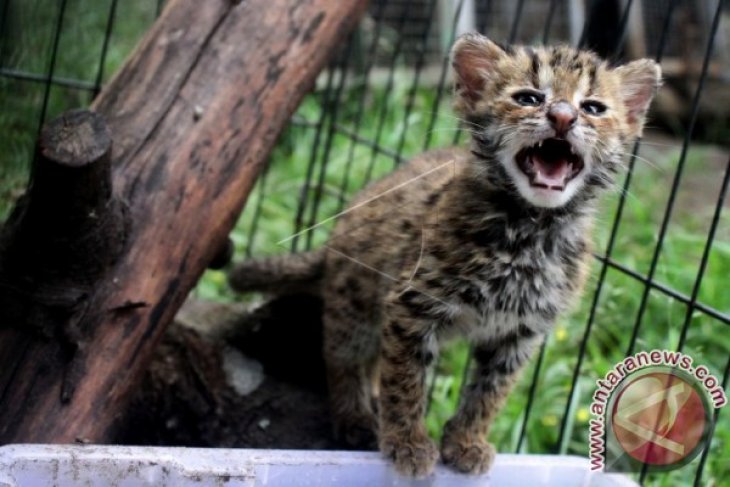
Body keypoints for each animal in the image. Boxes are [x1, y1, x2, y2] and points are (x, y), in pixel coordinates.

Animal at [229, 34, 660, 476]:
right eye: (528, 98)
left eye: (593, 108)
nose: (562, 117)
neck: (530, 228)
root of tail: (338, 229)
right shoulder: (412, 305)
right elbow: (406, 381)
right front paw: (407, 442)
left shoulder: (521, 332)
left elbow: (490, 392)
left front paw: (467, 441)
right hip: (356, 300)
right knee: (343, 355)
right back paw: (355, 418)